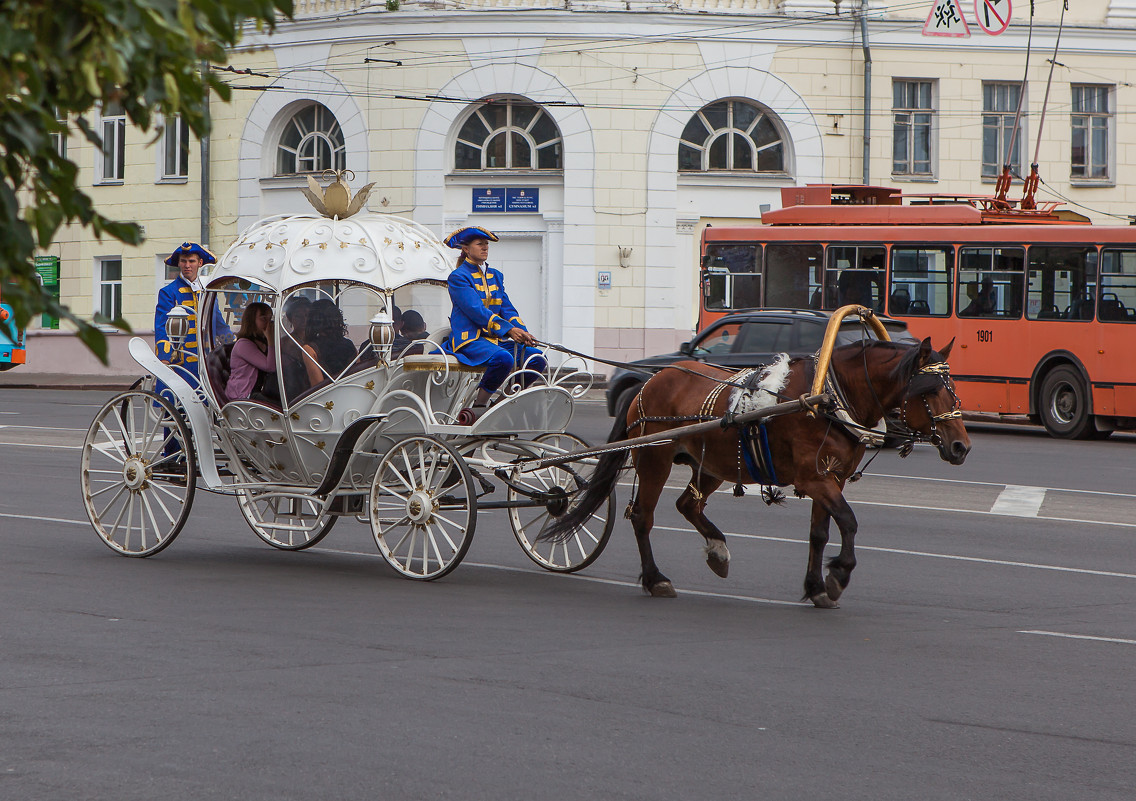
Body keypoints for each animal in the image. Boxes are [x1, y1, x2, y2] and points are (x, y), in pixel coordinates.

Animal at [540, 336, 967, 604]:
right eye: (929, 390)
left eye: (953, 387)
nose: (961, 446)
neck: (827, 396)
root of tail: (650, 381)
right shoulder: (815, 478)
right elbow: (848, 522)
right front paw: (839, 575)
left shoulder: (833, 478)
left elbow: (820, 533)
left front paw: (816, 587)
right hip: (655, 460)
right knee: (644, 516)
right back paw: (655, 578)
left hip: (711, 463)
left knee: (687, 506)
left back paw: (717, 550)